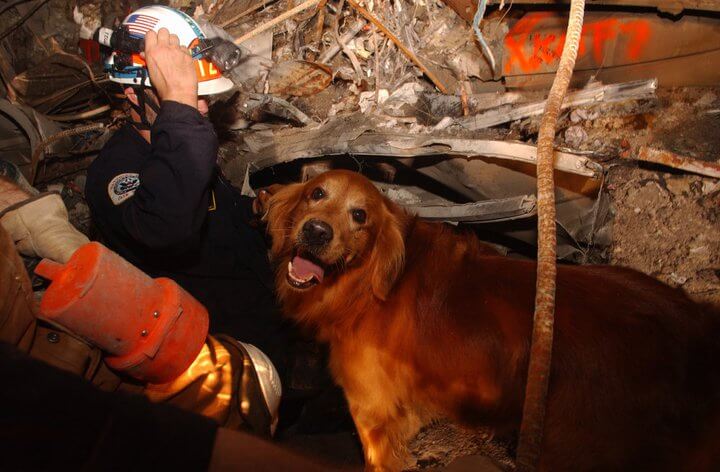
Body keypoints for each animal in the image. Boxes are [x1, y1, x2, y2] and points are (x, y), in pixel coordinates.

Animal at [262, 169, 720, 468]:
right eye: (316, 193)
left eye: (360, 216)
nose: (316, 231)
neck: (369, 282)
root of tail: (695, 326)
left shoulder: (372, 412)